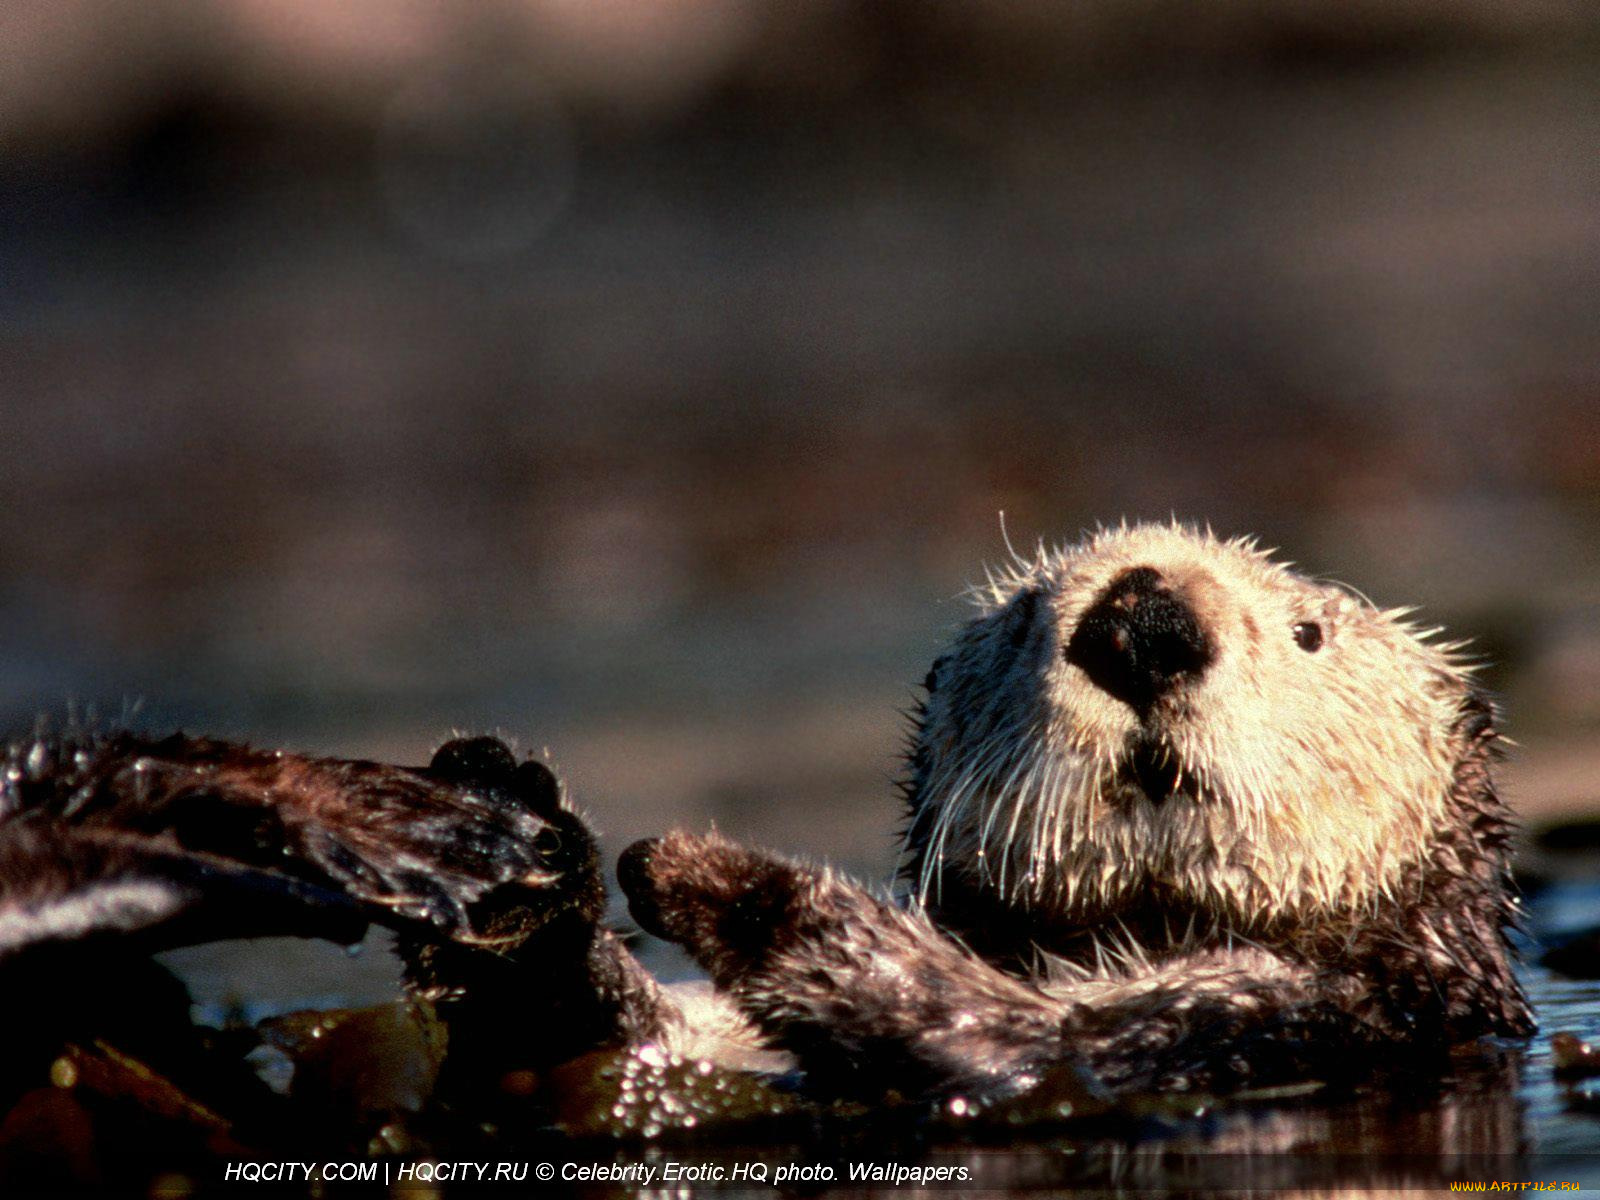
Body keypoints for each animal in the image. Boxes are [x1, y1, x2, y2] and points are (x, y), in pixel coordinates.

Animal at [614, 521, 1536, 1107]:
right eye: (1021, 619)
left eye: (1309, 633)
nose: (1146, 622)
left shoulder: (1290, 1017)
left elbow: (1002, 1032)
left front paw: (705, 877)